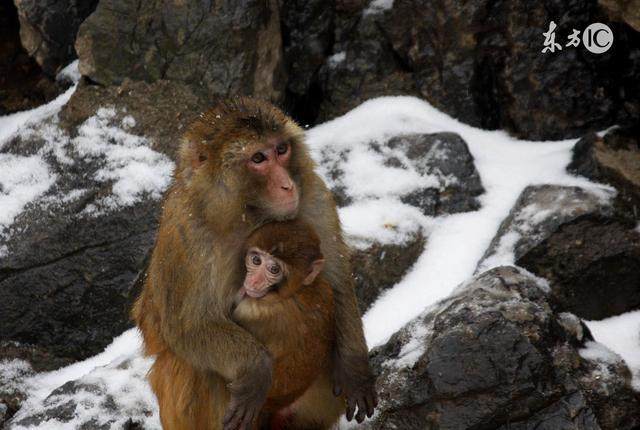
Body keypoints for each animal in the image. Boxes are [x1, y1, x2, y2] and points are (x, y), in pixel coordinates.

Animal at [232, 220, 348, 428]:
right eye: (256, 260)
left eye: (274, 269)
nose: (253, 281)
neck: (293, 292)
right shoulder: (324, 289)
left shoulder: (253, 310)